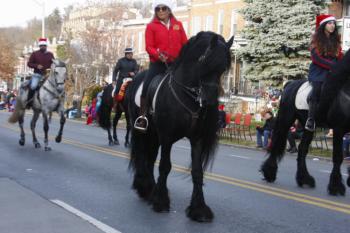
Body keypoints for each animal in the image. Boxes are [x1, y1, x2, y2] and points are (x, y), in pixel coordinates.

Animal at [128, 31, 232, 222]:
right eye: (206, 62)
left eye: (223, 69)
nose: (210, 100)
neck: (186, 96)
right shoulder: (167, 137)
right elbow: (165, 166)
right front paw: (161, 202)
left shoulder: (197, 139)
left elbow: (197, 171)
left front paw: (199, 209)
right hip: (141, 131)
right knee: (142, 155)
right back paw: (144, 188)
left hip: (154, 134)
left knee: (150, 158)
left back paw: (150, 189)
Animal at [262, 49, 350, 195]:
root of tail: (290, 84)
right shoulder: (339, 129)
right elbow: (338, 157)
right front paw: (336, 187)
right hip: (286, 120)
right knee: (277, 143)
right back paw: (269, 173)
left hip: (308, 127)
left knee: (302, 149)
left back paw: (304, 179)